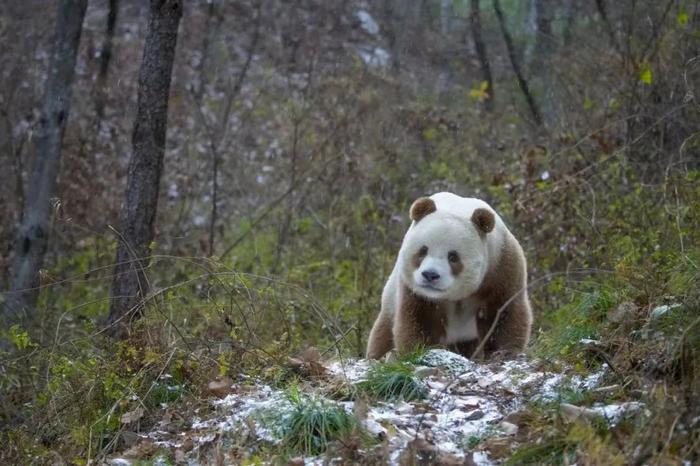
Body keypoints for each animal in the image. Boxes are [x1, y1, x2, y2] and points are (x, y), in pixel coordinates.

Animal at [364, 191, 532, 358]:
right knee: (383, 334)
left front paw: (503, 352)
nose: (430, 275)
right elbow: (420, 319)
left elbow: (503, 312)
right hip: (390, 302)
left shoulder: (501, 268)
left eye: (453, 257)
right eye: (423, 250)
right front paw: (421, 350)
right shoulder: (415, 290)